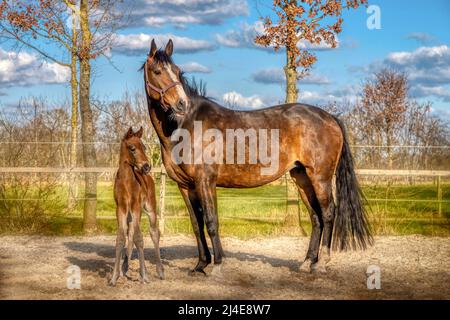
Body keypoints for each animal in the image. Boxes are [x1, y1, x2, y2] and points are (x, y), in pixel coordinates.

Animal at [110, 126, 164, 286]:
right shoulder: (121, 208)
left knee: (154, 233)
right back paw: (125, 267)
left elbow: (140, 238)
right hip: (131, 214)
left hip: (149, 209)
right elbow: (121, 238)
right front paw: (114, 277)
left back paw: (160, 271)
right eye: (132, 148)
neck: (126, 181)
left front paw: (144, 276)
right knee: (131, 233)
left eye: (144, 147)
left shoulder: (135, 206)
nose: (146, 166)